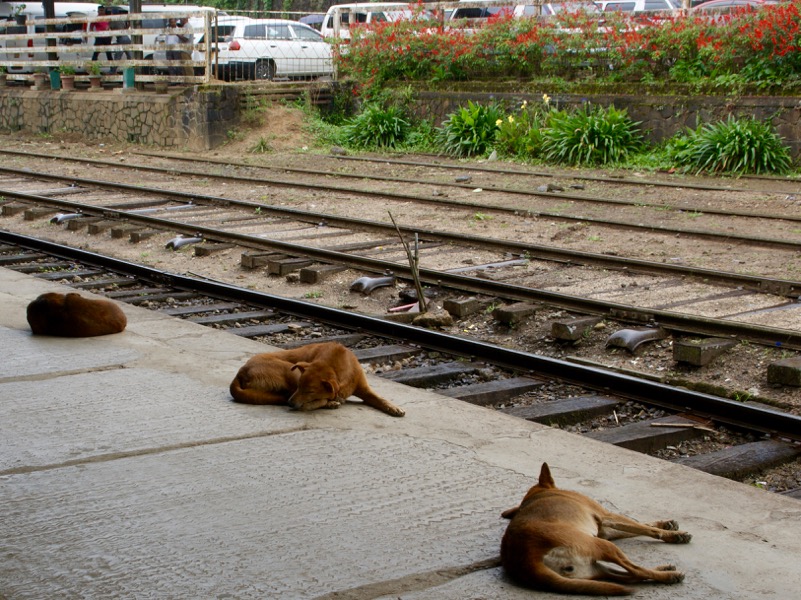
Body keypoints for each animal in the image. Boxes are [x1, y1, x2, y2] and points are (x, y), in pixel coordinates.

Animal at [231, 342, 406, 418]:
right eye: (300, 387)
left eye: (309, 391)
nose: (290, 404)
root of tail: (241, 372)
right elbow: (312, 403)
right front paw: (330, 401)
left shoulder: (364, 388)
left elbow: (380, 398)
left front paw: (393, 407)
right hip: (289, 370)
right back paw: (330, 403)